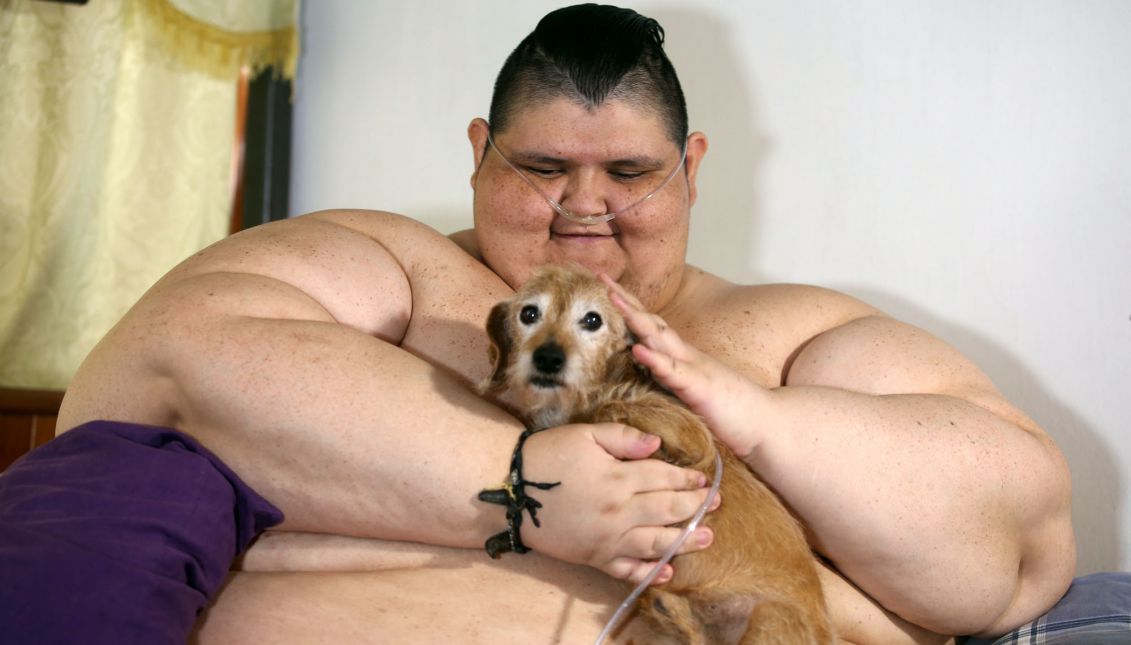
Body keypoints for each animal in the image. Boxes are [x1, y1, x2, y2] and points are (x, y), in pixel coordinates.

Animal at [481, 262, 836, 642]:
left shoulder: (695, 439)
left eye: (592, 320)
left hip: (771, 617)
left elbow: (611, 410)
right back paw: (667, 607)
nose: (548, 358)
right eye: (529, 313)